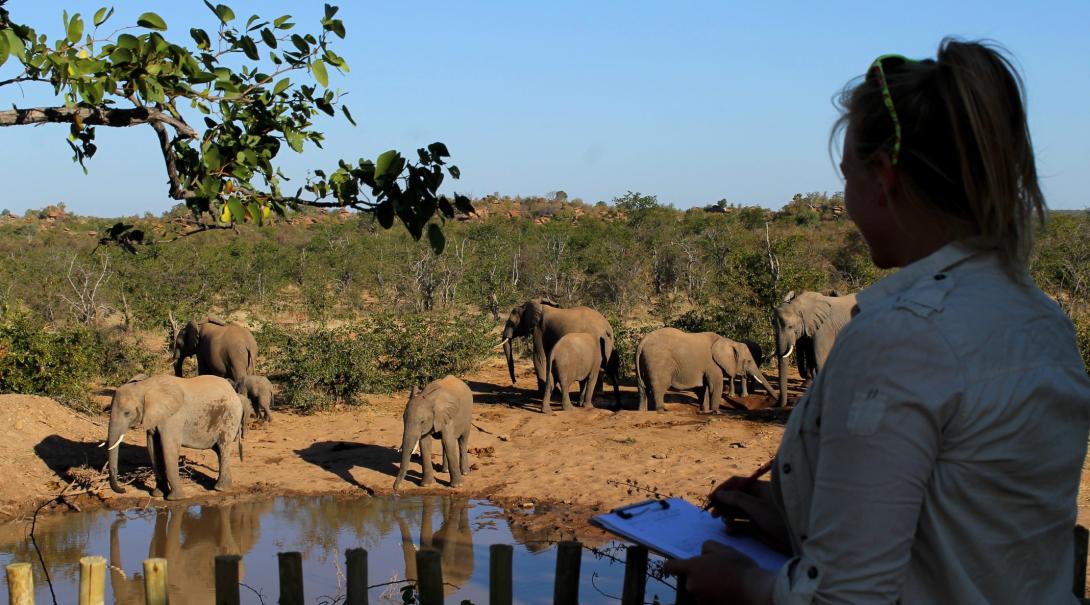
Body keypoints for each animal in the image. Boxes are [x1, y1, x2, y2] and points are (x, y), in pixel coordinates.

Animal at [105, 374, 243, 501]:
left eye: (127, 413)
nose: (123, 490)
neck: (146, 386)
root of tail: (234, 392)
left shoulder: (174, 417)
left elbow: (169, 448)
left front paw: (175, 499)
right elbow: (153, 448)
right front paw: (157, 495)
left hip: (230, 416)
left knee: (223, 447)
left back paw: (220, 489)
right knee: (219, 451)